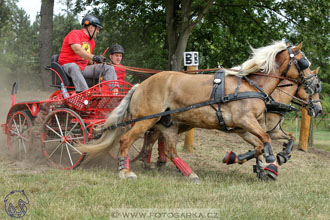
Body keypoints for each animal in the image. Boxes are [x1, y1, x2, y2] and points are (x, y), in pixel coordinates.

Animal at [77, 41, 320, 182]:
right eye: (303, 62)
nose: (317, 106)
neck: (252, 86)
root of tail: (140, 85)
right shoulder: (246, 121)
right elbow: (265, 141)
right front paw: (268, 161)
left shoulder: (244, 127)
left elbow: (264, 143)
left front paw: (259, 162)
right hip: (145, 120)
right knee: (126, 140)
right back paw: (125, 171)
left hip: (168, 123)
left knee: (168, 147)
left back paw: (184, 171)